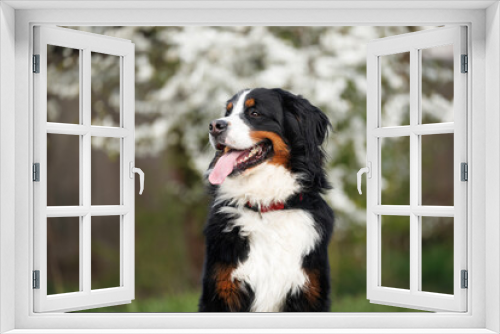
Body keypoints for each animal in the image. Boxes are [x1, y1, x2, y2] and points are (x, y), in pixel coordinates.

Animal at [197, 87, 334, 312]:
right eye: (228, 112)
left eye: (254, 113)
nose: (214, 125)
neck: (266, 206)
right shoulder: (222, 291)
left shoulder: (309, 291)